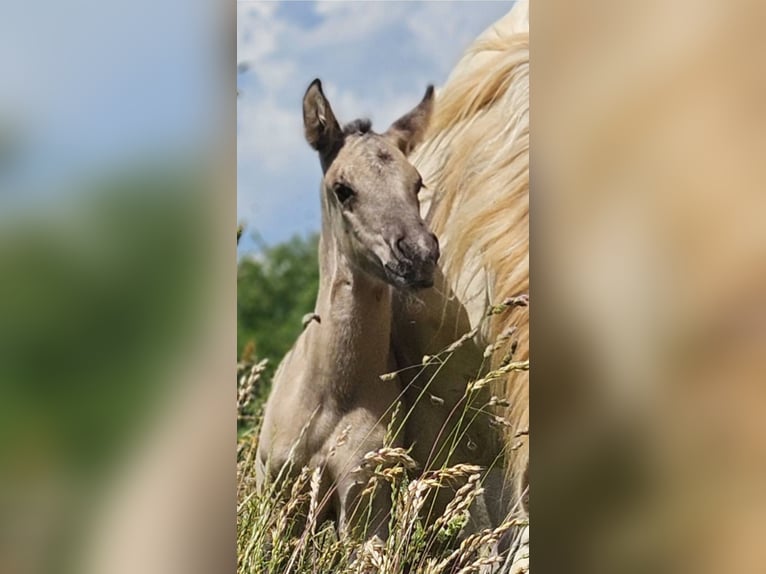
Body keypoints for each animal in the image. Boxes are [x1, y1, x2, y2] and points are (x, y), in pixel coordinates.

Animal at [256, 79, 439, 541]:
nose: (419, 255)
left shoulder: (363, 494)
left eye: (417, 183)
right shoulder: (277, 489)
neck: (331, 396)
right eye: (343, 189)